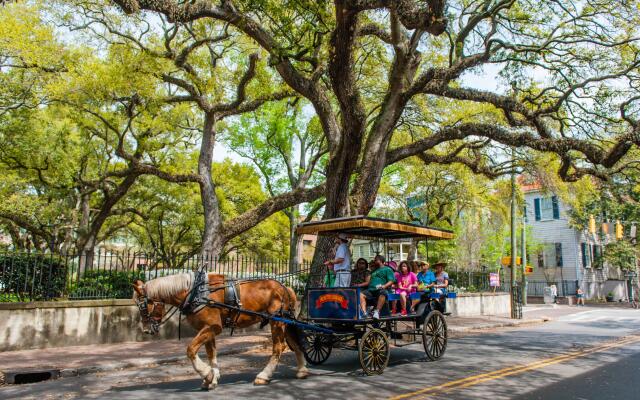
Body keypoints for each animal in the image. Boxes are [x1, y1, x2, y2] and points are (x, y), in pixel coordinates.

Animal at [131, 274, 308, 390]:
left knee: (278, 347)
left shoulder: (213, 327)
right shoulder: (207, 329)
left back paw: (264, 376)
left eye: (143, 306)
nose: (146, 330)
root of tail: (285, 288)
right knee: (294, 344)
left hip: (277, 321)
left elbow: (191, 350)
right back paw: (301, 370)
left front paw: (206, 374)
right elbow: (211, 354)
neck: (195, 293)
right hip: (286, 322)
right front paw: (212, 378)